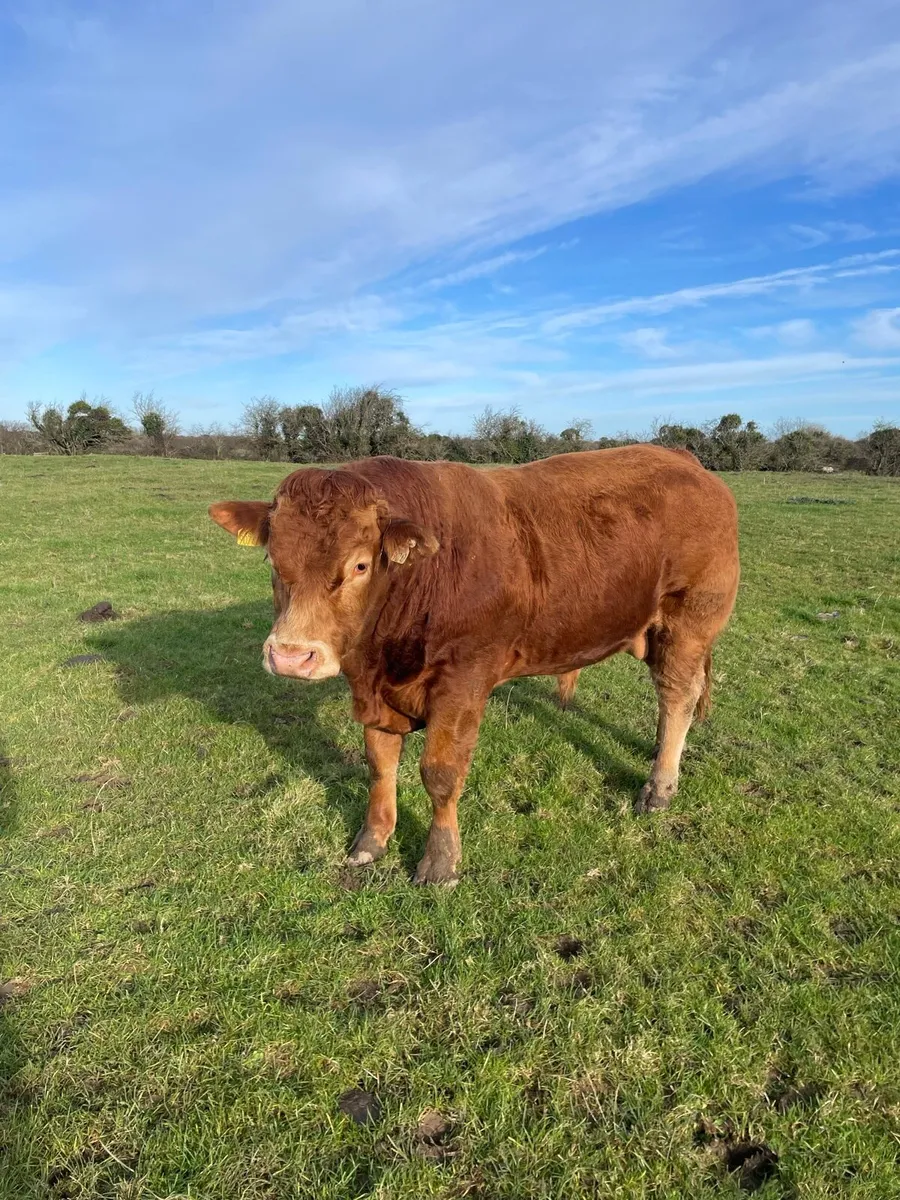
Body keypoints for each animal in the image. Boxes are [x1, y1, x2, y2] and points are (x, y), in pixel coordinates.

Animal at [209, 445, 739, 885]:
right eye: (272, 561)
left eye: (360, 564)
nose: (291, 656)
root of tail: (683, 459)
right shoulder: (375, 694)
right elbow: (380, 764)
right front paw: (371, 842)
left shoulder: (463, 680)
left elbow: (440, 773)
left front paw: (440, 863)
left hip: (688, 623)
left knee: (678, 696)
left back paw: (660, 786)